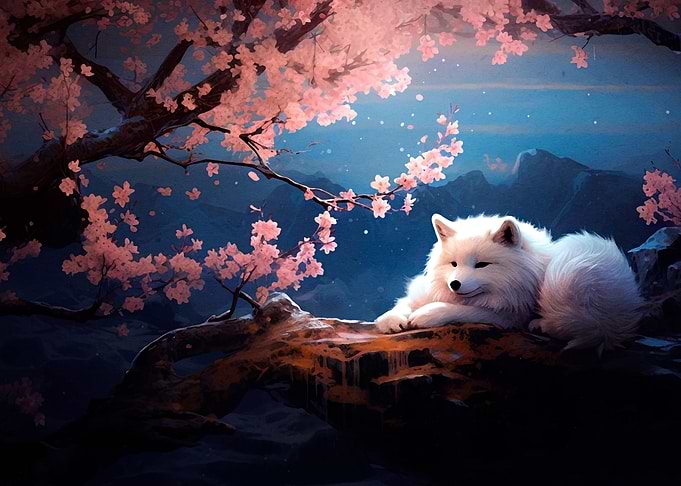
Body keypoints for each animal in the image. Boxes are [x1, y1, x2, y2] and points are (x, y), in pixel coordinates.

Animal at [375, 214, 643, 352]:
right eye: (453, 264)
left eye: (481, 265)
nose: (455, 284)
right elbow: (406, 302)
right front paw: (390, 319)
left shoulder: (509, 316)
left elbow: (462, 310)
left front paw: (428, 314)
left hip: (568, 268)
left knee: (578, 326)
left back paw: (541, 325)